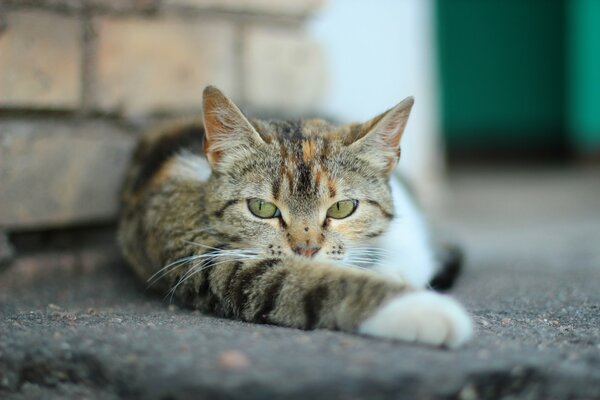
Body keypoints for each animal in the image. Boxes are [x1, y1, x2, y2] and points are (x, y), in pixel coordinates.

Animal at [117, 85, 474, 346]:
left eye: (342, 208)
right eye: (261, 208)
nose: (307, 249)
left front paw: (397, 273)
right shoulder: (196, 251)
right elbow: (295, 283)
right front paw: (423, 310)